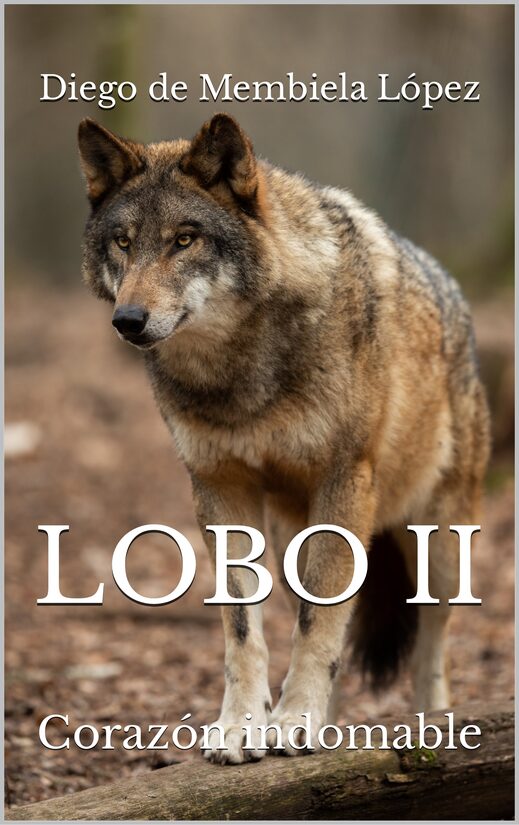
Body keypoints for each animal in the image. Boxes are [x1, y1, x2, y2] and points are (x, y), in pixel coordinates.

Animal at [78, 114, 490, 764]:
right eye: (123, 242)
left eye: (185, 239)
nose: (128, 320)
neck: (241, 373)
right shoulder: (219, 488)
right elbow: (248, 628)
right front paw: (243, 727)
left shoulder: (345, 480)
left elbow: (320, 625)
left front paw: (294, 720)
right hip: (292, 536)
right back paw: (331, 723)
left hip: (440, 545)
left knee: (432, 643)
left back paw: (430, 726)